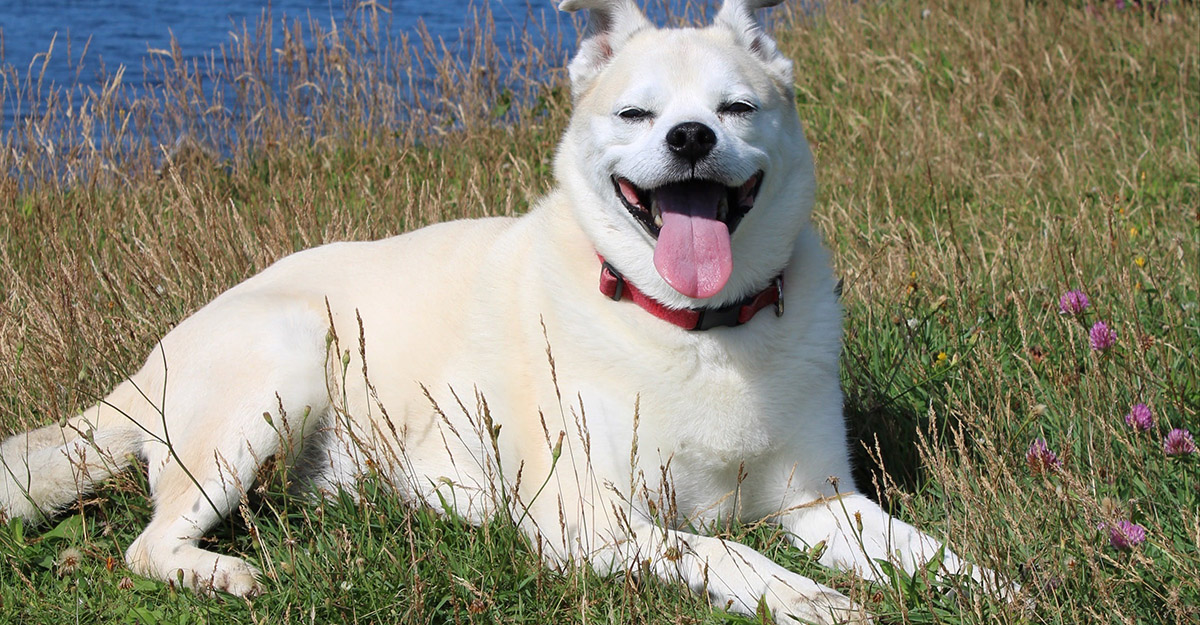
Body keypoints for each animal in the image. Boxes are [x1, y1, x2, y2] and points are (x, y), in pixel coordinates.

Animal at [2, 2, 1003, 619]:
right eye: (637, 115)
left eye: (737, 107)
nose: (690, 138)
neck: (696, 327)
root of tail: (146, 367)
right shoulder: (585, 517)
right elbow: (719, 551)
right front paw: (804, 595)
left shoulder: (821, 499)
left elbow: (927, 550)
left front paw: (994, 584)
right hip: (283, 357)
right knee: (146, 544)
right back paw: (223, 570)